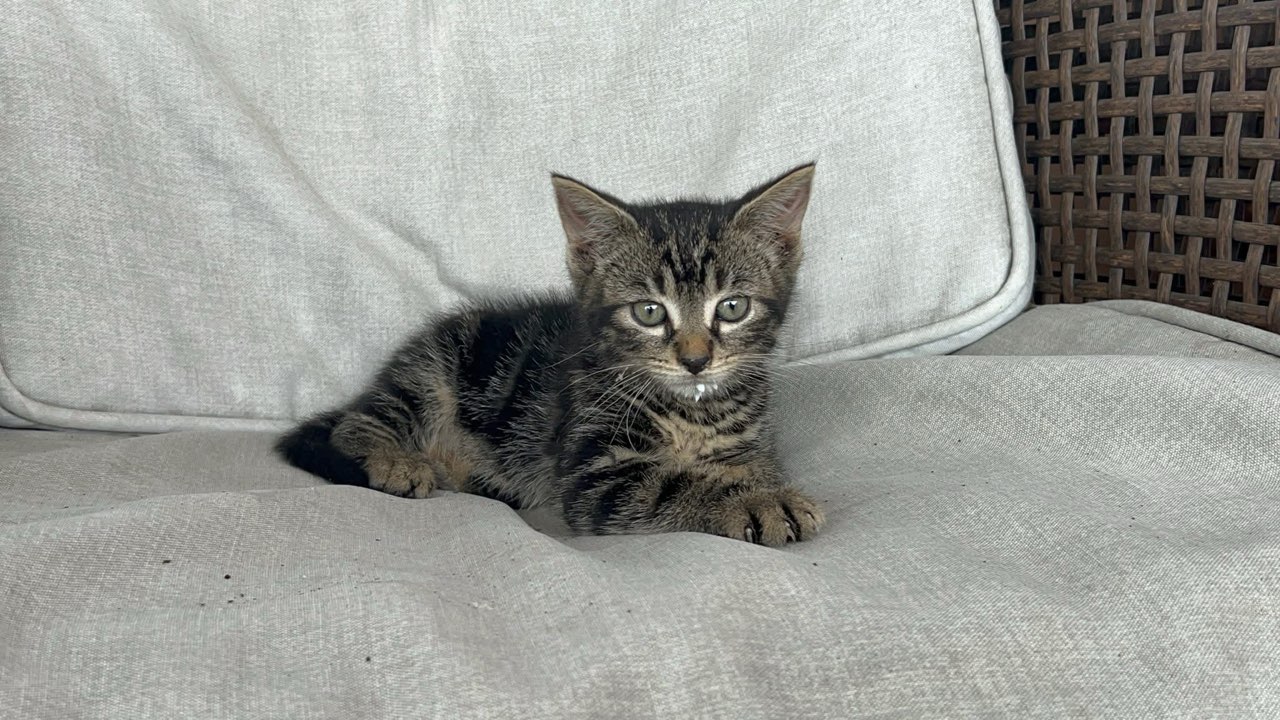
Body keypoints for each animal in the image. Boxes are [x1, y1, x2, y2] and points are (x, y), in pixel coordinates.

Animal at [276, 164, 824, 546]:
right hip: (431, 373)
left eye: (732, 307)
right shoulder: (591, 471)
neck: (693, 412)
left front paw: (760, 488)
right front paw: (759, 503)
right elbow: (676, 485)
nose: (695, 360)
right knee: (359, 423)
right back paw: (396, 462)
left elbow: (746, 467)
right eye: (649, 312)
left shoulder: (747, 443)